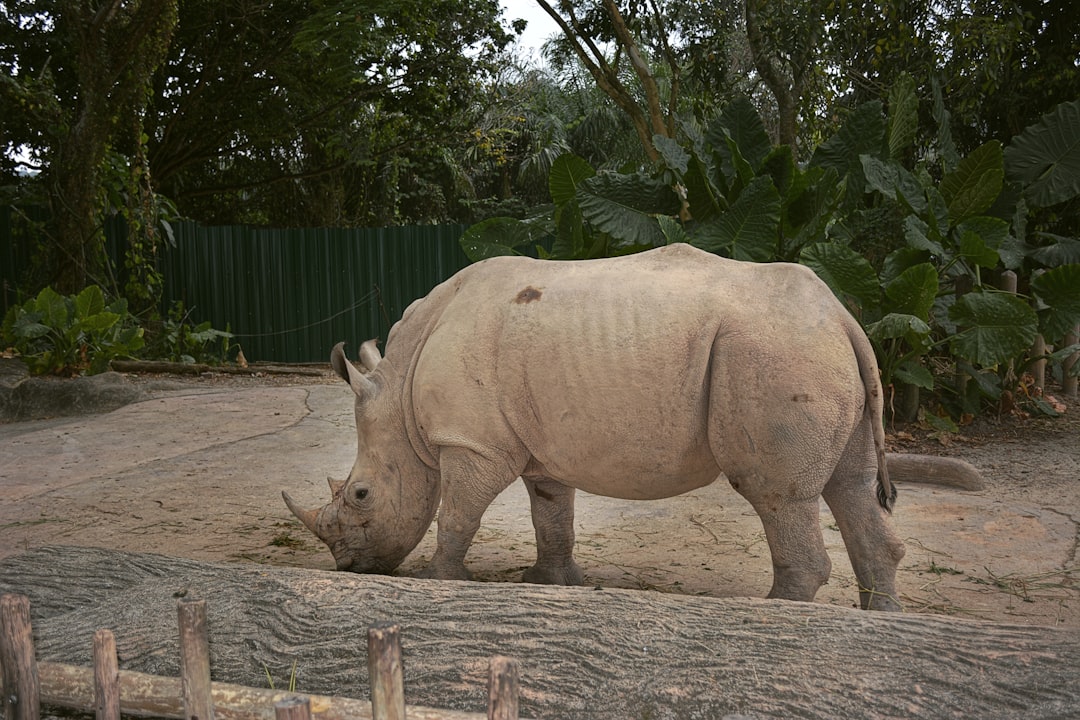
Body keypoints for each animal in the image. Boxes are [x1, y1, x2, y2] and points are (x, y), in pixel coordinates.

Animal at [283, 243, 982, 610]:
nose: (349, 566)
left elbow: (458, 513)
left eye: (360, 495)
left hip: (775, 350)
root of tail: (843, 314)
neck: (400, 393)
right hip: (815, 349)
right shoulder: (538, 449)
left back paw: (773, 614)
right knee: (851, 487)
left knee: (779, 496)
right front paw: (550, 584)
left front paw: (440, 582)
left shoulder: (472, 443)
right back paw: (877, 623)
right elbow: (551, 513)